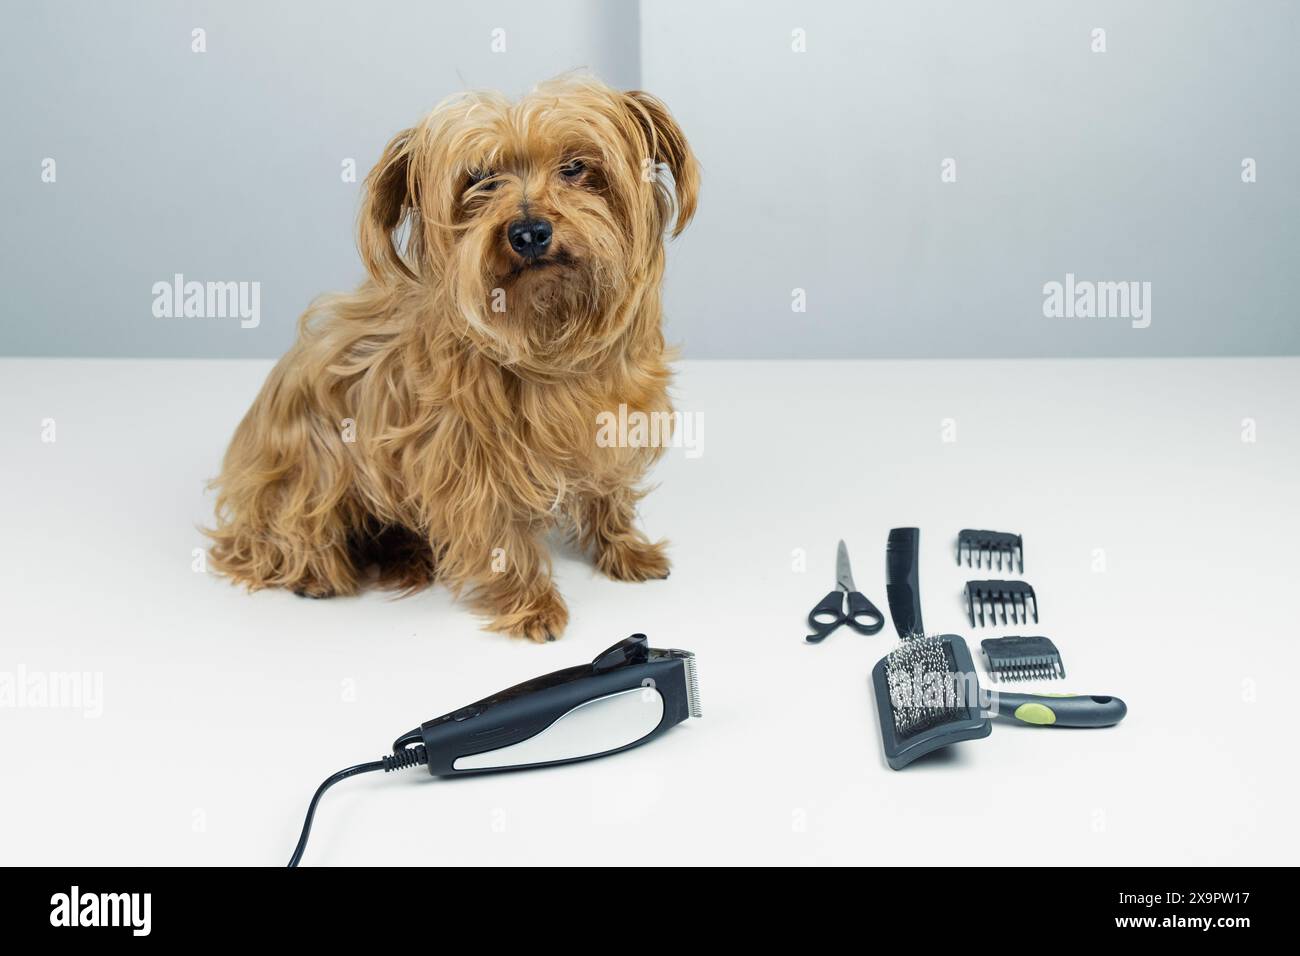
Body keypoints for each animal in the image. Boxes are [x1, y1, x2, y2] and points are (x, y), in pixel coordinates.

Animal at [208, 76, 696, 642]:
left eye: (575, 167)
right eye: (479, 180)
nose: (528, 231)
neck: (546, 337)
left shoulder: (613, 422)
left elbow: (609, 492)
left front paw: (626, 550)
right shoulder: (466, 461)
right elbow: (498, 535)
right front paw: (531, 604)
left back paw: (406, 553)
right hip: (305, 472)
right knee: (283, 534)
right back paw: (316, 571)